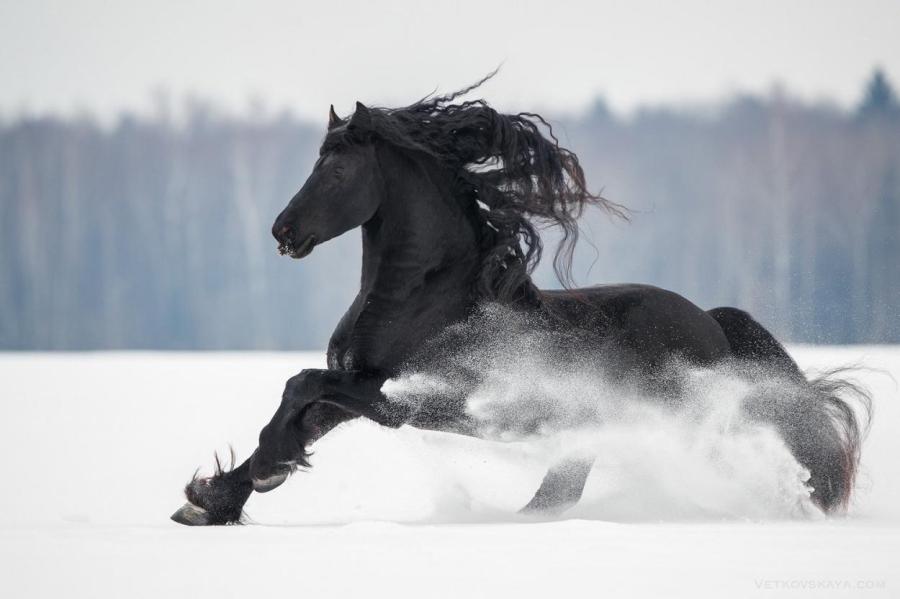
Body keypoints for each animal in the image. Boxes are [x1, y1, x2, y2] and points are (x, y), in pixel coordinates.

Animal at [172, 78, 868, 524]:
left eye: (337, 170)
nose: (283, 232)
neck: (420, 298)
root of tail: (713, 323)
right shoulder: (361, 380)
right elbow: (301, 409)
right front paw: (215, 499)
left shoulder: (419, 398)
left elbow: (302, 386)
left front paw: (261, 473)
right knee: (566, 485)